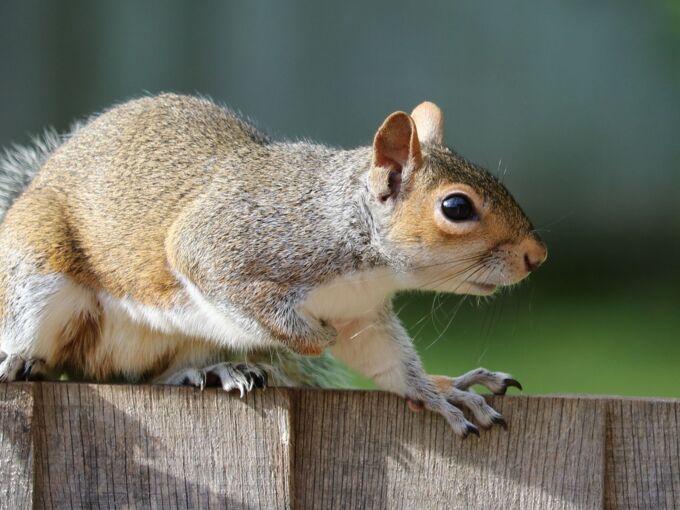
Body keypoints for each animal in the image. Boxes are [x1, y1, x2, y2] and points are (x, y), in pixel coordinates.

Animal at [0, 95, 544, 438]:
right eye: (456, 207)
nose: (536, 257)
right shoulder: (224, 243)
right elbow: (226, 283)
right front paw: (310, 337)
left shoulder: (361, 315)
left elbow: (386, 360)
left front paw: (436, 393)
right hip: (36, 271)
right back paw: (18, 361)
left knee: (143, 379)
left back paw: (211, 371)